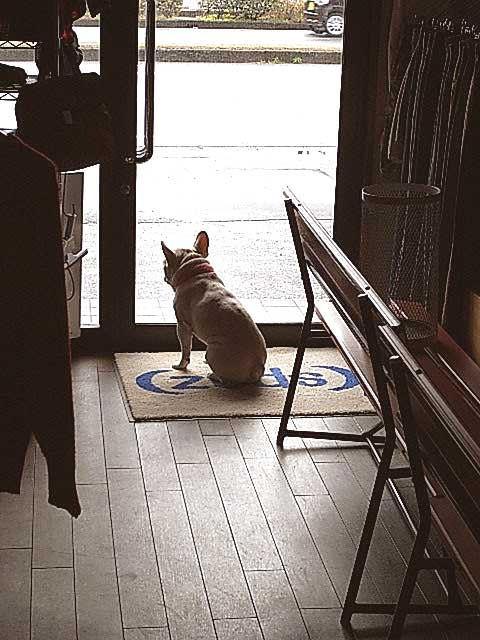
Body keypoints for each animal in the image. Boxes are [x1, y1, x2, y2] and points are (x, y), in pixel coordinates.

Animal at [161, 232, 266, 388]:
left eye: (164, 266)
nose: (163, 275)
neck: (195, 273)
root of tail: (257, 368)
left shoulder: (182, 325)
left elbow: (185, 350)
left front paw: (180, 367)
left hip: (211, 351)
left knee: (227, 381)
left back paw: (213, 376)